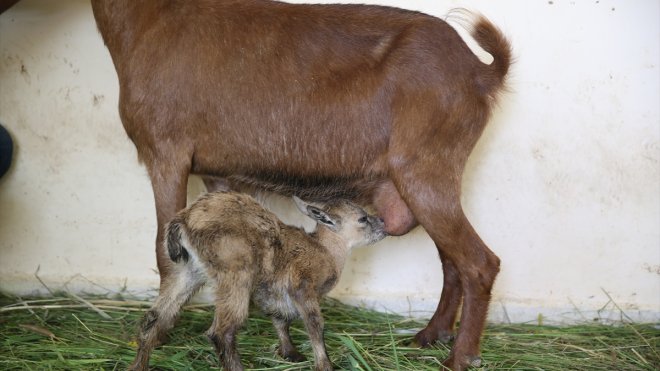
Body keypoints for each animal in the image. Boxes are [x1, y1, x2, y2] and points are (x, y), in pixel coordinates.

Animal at [91, 0, 510, 370]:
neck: (153, 19)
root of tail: (480, 72)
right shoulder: (218, 172)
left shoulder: (166, 152)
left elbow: (165, 252)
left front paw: (161, 335)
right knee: (452, 261)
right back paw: (430, 336)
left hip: (425, 172)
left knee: (479, 263)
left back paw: (459, 357)